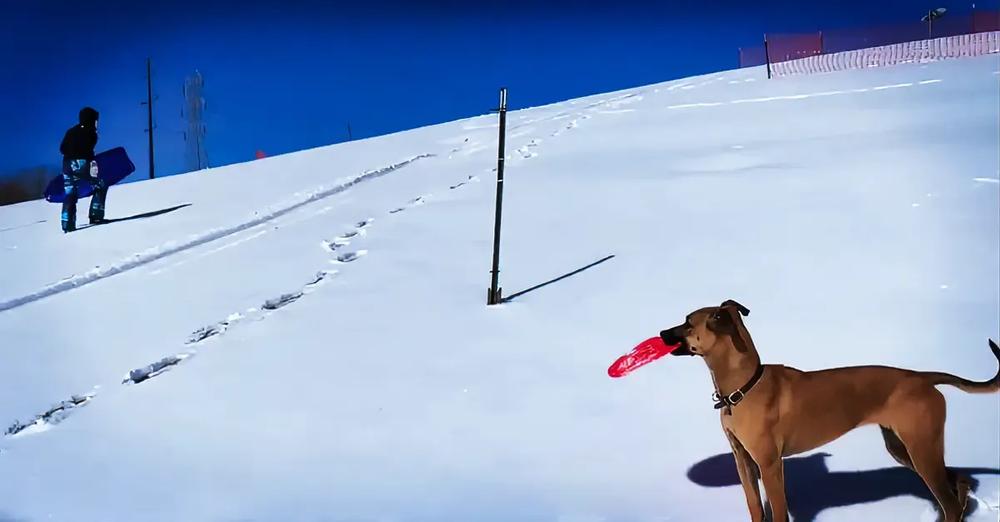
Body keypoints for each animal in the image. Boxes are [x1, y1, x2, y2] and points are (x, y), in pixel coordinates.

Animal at [664, 298, 1000, 520]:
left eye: (687, 322)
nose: (662, 334)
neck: (744, 387)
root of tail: (921, 376)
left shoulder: (770, 466)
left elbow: (778, 512)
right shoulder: (743, 462)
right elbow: (755, 508)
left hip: (921, 449)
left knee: (950, 500)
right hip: (906, 448)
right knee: (958, 482)